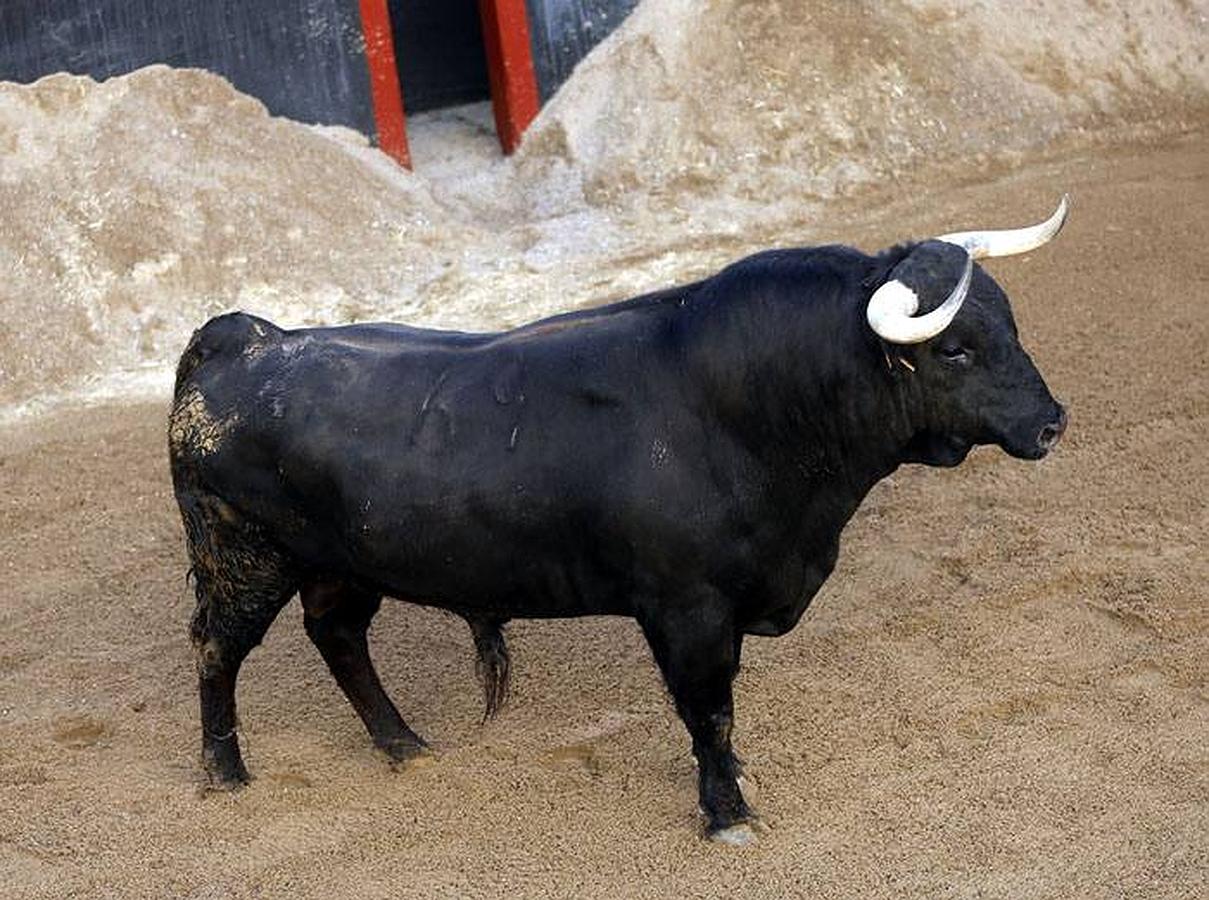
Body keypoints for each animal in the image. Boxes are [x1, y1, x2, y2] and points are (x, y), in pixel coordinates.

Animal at [172, 237, 1068, 837]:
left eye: (1010, 325)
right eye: (954, 349)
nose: (1051, 423)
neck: (744, 408)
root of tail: (242, 339)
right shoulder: (687, 610)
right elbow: (709, 712)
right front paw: (726, 813)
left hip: (341, 564)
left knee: (337, 636)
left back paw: (404, 745)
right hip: (243, 556)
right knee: (217, 648)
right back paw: (224, 773)